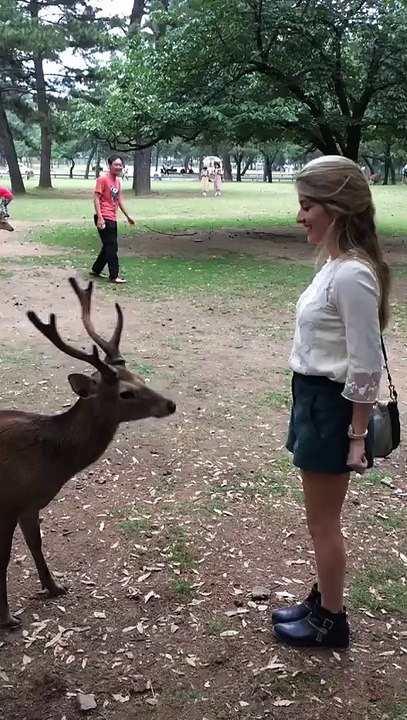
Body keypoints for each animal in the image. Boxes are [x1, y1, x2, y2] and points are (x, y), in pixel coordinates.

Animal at [0, 277, 176, 628]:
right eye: (126, 393)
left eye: (140, 377)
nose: (170, 404)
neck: (47, 462)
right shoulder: (7, 503)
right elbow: (3, 558)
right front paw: (6, 617)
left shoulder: (30, 504)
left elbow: (36, 543)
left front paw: (54, 587)